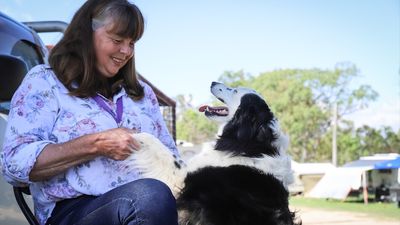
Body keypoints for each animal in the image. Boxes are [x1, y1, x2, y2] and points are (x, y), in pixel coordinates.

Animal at [130, 82, 300, 225]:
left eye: (235, 90)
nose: (213, 82)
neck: (252, 143)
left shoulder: (180, 177)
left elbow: (154, 143)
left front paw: (131, 135)